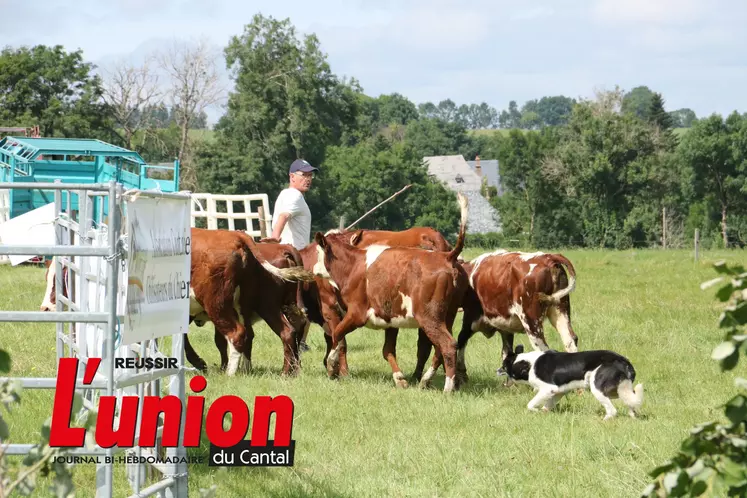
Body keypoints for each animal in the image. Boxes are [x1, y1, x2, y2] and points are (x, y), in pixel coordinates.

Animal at [312, 193, 470, 392]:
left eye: (319, 253)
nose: (313, 270)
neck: (354, 263)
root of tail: (448, 256)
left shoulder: (354, 314)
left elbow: (337, 336)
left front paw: (332, 367)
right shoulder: (389, 319)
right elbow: (386, 349)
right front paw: (399, 378)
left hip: (430, 318)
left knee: (446, 345)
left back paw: (446, 387)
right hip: (447, 316)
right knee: (439, 348)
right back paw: (427, 379)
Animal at [456, 249, 580, 386]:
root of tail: (548, 257)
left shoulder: (470, 320)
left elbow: (460, 343)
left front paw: (461, 376)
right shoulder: (505, 329)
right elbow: (506, 354)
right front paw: (509, 384)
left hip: (531, 322)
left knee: (543, 349)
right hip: (560, 311)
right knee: (570, 341)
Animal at [506, 344, 644, 418]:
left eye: (505, 366)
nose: (500, 371)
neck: (529, 364)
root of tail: (624, 362)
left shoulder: (548, 389)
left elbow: (530, 404)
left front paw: (535, 411)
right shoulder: (558, 392)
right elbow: (547, 406)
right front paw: (543, 413)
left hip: (598, 388)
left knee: (612, 411)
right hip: (618, 390)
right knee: (631, 404)